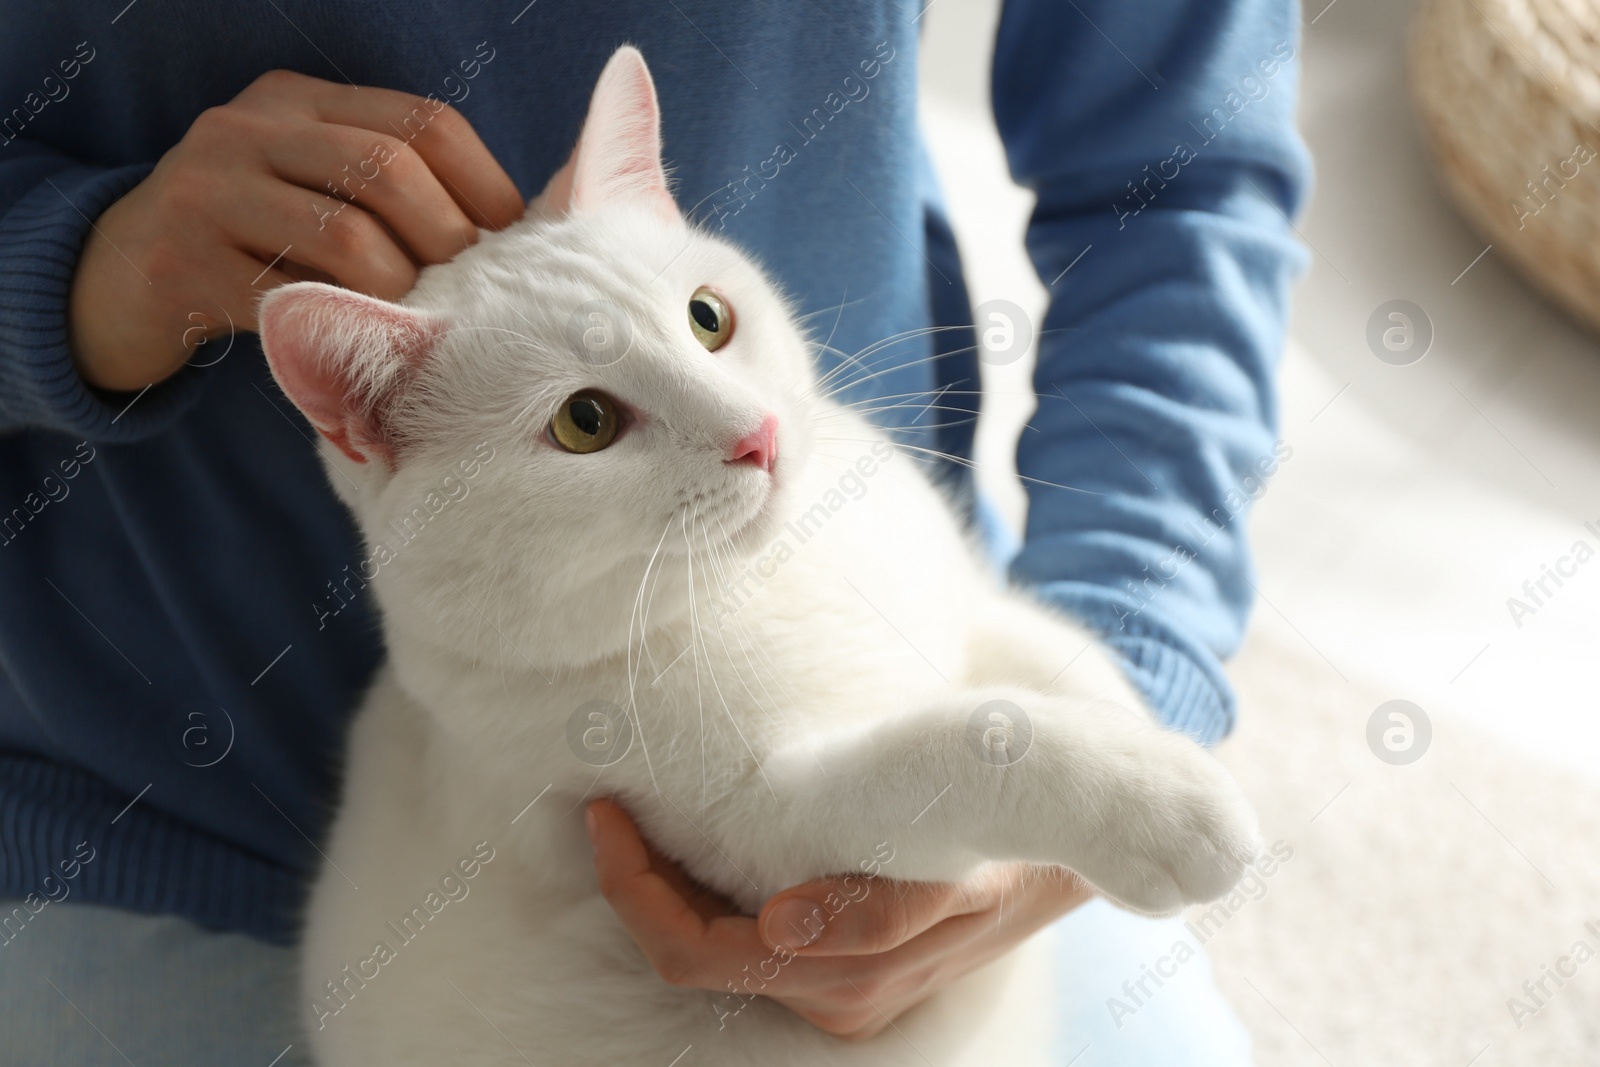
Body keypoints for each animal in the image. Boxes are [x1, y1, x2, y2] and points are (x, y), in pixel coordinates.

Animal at [262, 43, 1260, 1067]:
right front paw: (1159, 806)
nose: (759, 436)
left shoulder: (967, 608)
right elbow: (976, 739)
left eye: (709, 318)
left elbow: (1064, 659)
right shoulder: (770, 835)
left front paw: (1142, 739)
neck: (763, 578)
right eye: (585, 421)